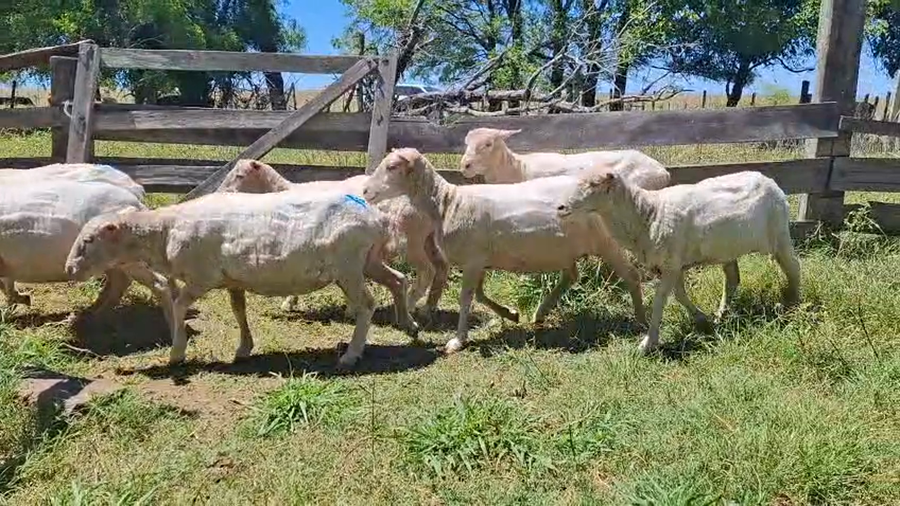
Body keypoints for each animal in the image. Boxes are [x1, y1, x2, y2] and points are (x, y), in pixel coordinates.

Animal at [0, 179, 175, 322]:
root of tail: (139, 203)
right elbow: (7, 284)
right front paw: (20, 302)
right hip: (113, 262)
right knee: (119, 281)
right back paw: (93, 313)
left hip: (129, 258)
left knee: (158, 282)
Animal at [64, 189, 419, 368]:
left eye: (88, 240)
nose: (69, 270)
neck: (164, 231)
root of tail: (376, 216)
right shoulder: (233, 279)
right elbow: (239, 311)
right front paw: (244, 348)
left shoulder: (202, 277)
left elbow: (179, 307)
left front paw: (177, 352)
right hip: (368, 261)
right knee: (399, 280)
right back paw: (409, 325)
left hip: (348, 267)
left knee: (367, 305)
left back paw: (351, 354)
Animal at [217, 159, 448, 324]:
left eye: (240, 175)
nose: (220, 193)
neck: (282, 189)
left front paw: (289, 301)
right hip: (428, 239)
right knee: (441, 268)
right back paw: (428, 308)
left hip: (411, 241)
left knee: (426, 271)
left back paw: (410, 305)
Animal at [362, 148, 647, 354]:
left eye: (392, 167)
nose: (365, 191)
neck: (448, 202)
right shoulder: (479, 260)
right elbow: (479, 295)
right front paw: (510, 314)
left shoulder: (473, 260)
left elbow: (466, 298)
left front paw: (458, 340)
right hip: (565, 249)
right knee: (571, 276)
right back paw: (541, 312)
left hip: (606, 243)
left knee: (631, 276)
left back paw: (642, 321)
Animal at [556, 170, 801, 353]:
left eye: (594, 183)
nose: (560, 207)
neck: (647, 213)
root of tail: (770, 181)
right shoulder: (672, 265)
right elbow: (680, 295)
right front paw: (701, 318)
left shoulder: (671, 264)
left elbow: (660, 301)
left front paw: (648, 343)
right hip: (727, 248)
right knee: (732, 279)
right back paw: (721, 314)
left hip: (779, 234)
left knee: (793, 267)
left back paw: (794, 303)